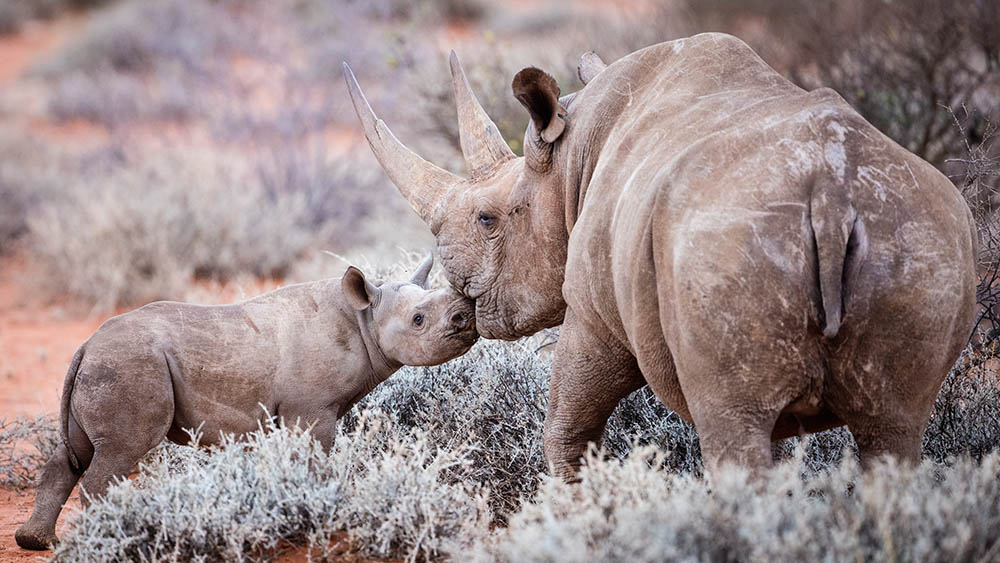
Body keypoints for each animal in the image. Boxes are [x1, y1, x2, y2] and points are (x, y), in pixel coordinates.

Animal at [15, 256, 476, 552]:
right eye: (418, 320)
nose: (466, 320)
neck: (365, 319)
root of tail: (85, 345)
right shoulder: (313, 409)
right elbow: (316, 459)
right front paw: (319, 507)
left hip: (105, 366)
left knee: (76, 452)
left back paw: (38, 542)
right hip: (130, 365)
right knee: (117, 453)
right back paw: (102, 535)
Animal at [346, 33, 976, 478]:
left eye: (487, 219)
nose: (458, 295)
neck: (568, 160)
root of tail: (831, 192)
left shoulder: (595, 314)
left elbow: (567, 426)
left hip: (728, 245)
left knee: (735, 430)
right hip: (918, 235)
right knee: (894, 433)